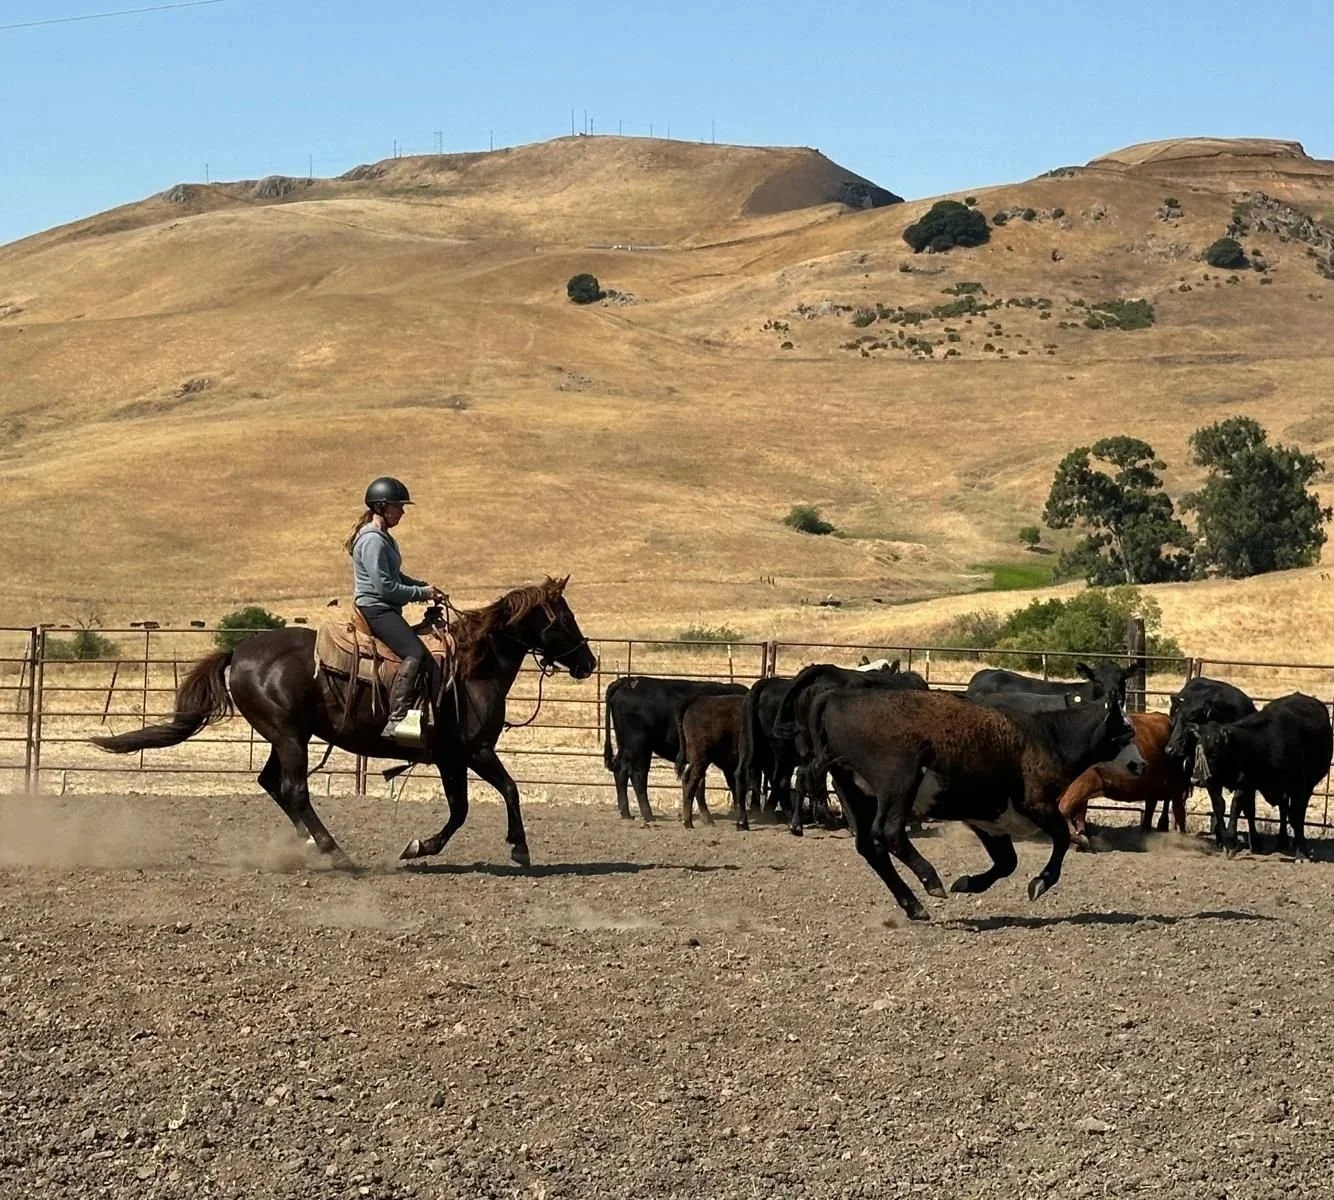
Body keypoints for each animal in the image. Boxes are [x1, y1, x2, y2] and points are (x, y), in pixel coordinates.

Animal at [90, 577, 597, 867]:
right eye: (564, 617)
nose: (588, 662)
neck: (473, 667)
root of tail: (238, 651)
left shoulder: (449, 759)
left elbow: (462, 809)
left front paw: (420, 846)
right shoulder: (472, 752)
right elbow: (501, 793)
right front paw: (516, 848)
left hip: (284, 737)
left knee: (273, 784)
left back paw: (310, 845)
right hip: (289, 737)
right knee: (294, 789)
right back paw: (335, 852)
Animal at [807, 688, 1145, 920]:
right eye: (1124, 733)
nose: (1140, 765)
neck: (1048, 738)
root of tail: (836, 698)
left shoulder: (990, 820)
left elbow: (1007, 863)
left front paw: (968, 883)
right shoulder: (1038, 804)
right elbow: (1061, 839)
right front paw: (1039, 883)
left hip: (856, 793)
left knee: (870, 846)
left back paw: (914, 905)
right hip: (898, 782)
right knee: (888, 833)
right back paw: (930, 880)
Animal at [1056, 712, 1191, 848]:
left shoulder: (1084, 781)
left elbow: (1065, 808)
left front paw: (1078, 838)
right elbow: (1078, 813)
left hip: (1176, 784)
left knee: (1178, 811)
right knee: (1152, 807)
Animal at [1164, 676, 1257, 844]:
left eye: (1191, 720)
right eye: (1174, 719)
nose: (1170, 749)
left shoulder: (1245, 779)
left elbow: (1237, 804)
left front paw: (1232, 838)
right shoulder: (1209, 779)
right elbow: (1219, 805)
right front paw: (1224, 838)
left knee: (1249, 808)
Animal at [1190, 692, 1333, 861]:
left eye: (1213, 753)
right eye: (1197, 750)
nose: (1195, 779)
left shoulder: (1298, 786)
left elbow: (1296, 816)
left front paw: (1302, 853)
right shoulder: (1242, 782)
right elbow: (1230, 806)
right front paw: (1229, 844)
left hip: (1307, 786)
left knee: (1294, 813)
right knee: (1283, 809)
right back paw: (1281, 841)